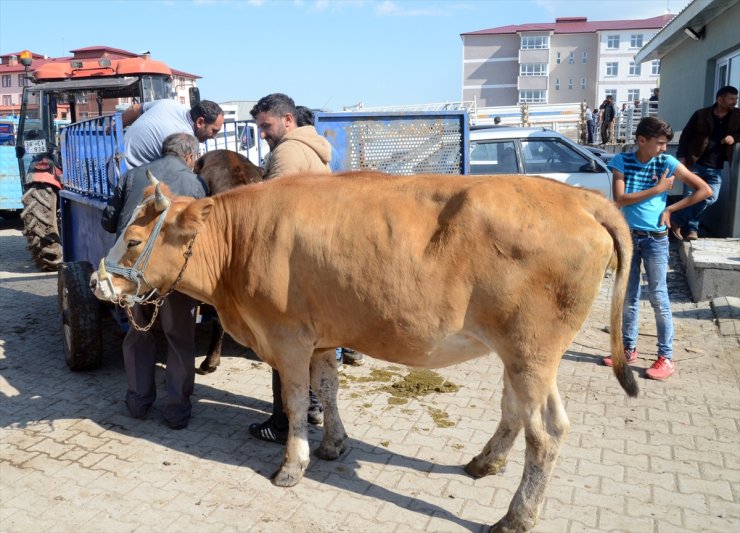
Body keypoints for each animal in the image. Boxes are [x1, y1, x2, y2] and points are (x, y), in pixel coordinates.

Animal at [92, 171, 636, 532]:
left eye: (134, 239)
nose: (98, 283)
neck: (239, 244)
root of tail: (580, 197)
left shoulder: (287, 336)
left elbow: (296, 403)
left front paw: (293, 465)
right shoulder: (321, 336)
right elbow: (328, 389)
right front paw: (334, 444)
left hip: (530, 349)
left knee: (546, 432)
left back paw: (517, 516)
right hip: (524, 353)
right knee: (517, 411)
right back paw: (484, 463)